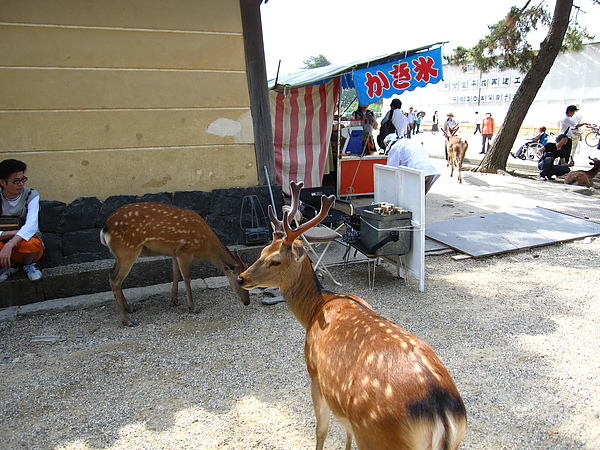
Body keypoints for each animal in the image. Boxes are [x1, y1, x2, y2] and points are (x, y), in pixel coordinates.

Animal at [99, 202, 250, 326]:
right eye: (239, 282)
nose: (247, 302)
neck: (205, 247)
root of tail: (104, 229)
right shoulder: (185, 251)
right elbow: (187, 278)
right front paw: (192, 307)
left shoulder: (174, 252)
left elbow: (175, 275)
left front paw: (175, 300)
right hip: (128, 250)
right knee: (115, 279)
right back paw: (127, 321)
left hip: (119, 254)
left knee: (111, 275)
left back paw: (129, 308)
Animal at [237, 181, 466, 448]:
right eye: (263, 251)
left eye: (275, 261)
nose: (241, 278)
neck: (315, 309)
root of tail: (441, 414)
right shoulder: (344, 411)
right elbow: (345, 432)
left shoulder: (315, 375)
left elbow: (321, 430)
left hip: (375, 434)